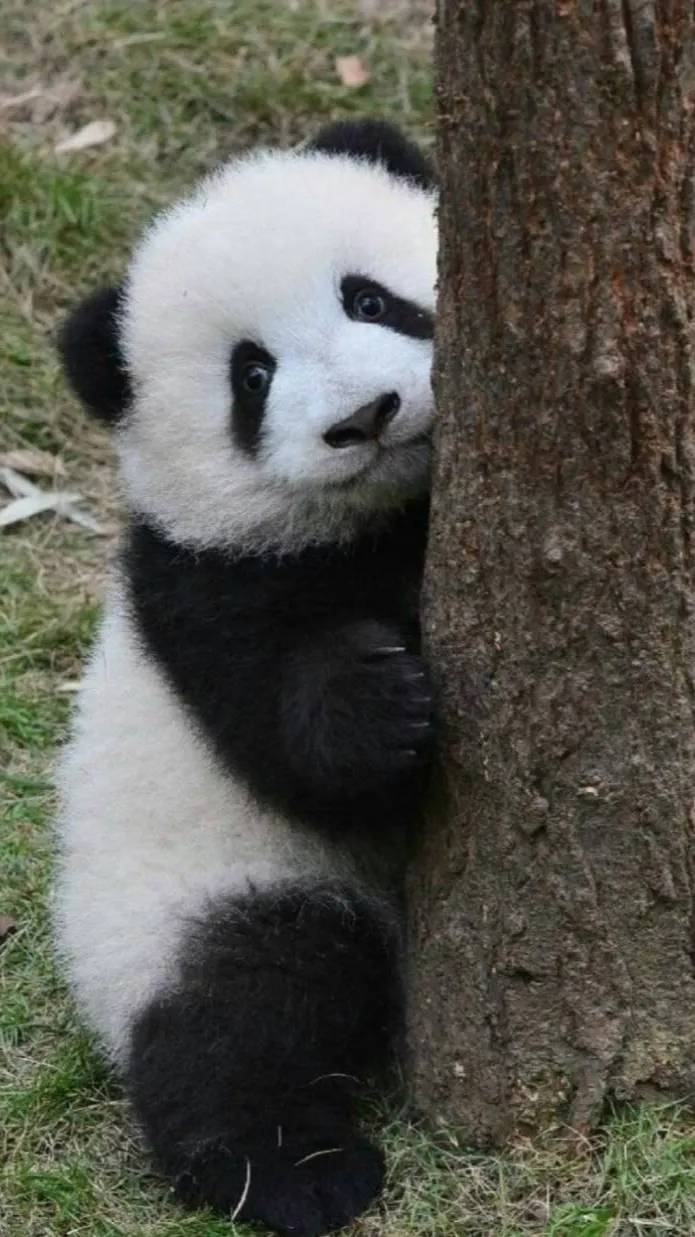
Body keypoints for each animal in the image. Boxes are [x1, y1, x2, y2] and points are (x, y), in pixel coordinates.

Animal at [53, 119, 438, 1237]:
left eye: (369, 298)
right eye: (252, 377)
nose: (366, 415)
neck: (384, 516)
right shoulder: (199, 585)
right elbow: (290, 749)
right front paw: (377, 700)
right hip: (204, 890)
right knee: (250, 1003)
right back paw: (288, 1167)